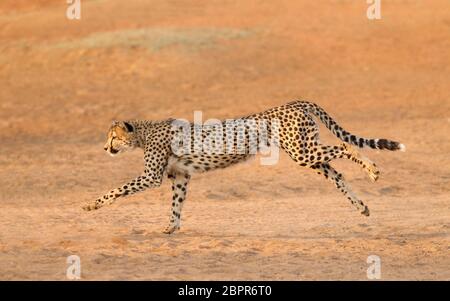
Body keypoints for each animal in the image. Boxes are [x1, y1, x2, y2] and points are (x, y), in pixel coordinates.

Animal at [83, 99, 404, 233]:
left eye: (113, 137)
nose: (105, 148)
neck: (143, 132)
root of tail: (296, 102)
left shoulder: (152, 177)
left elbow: (116, 190)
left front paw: (90, 205)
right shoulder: (181, 177)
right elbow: (176, 204)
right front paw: (171, 227)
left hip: (302, 152)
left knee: (347, 147)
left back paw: (373, 170)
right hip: (306, 154)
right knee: (336, 173)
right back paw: (362, 206)